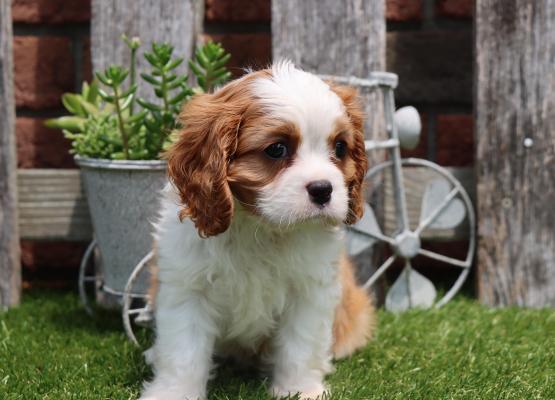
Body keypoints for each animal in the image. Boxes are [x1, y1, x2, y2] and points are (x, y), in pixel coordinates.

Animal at [139, 61, 376, 400]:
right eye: (276, 149)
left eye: (340, 148)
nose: (323, 189)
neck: (261, 227)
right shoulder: (187, 287)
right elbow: (183, 350)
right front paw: (174, 392)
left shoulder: (309, 291)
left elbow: (300, 346)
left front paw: (299, 390)